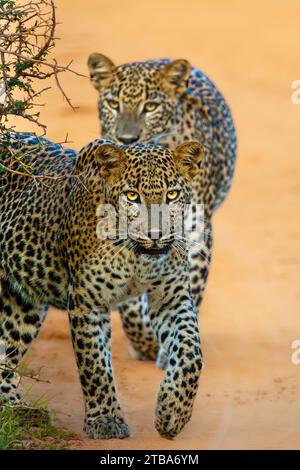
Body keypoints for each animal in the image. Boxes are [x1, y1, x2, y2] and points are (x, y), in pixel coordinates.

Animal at [0, 133, 204, 440]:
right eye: (132, 196)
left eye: (171, 195)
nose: (155, 235)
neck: (135, 255)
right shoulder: (87, 301)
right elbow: (94, 362)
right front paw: (105, 420)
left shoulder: (171, 297)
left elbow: (192, 352)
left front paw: (172, 412)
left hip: (22, 303)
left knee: (7, 348)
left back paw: (16, 409)